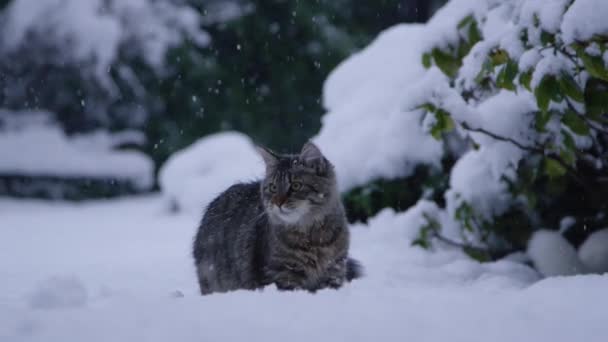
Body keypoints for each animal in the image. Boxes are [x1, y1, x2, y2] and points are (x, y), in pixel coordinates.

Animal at [192, 142, 360, 294]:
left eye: (296, 186)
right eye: (273, 187)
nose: (278, 202)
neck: (312, 236)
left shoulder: (334, 270)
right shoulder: (282, 274)